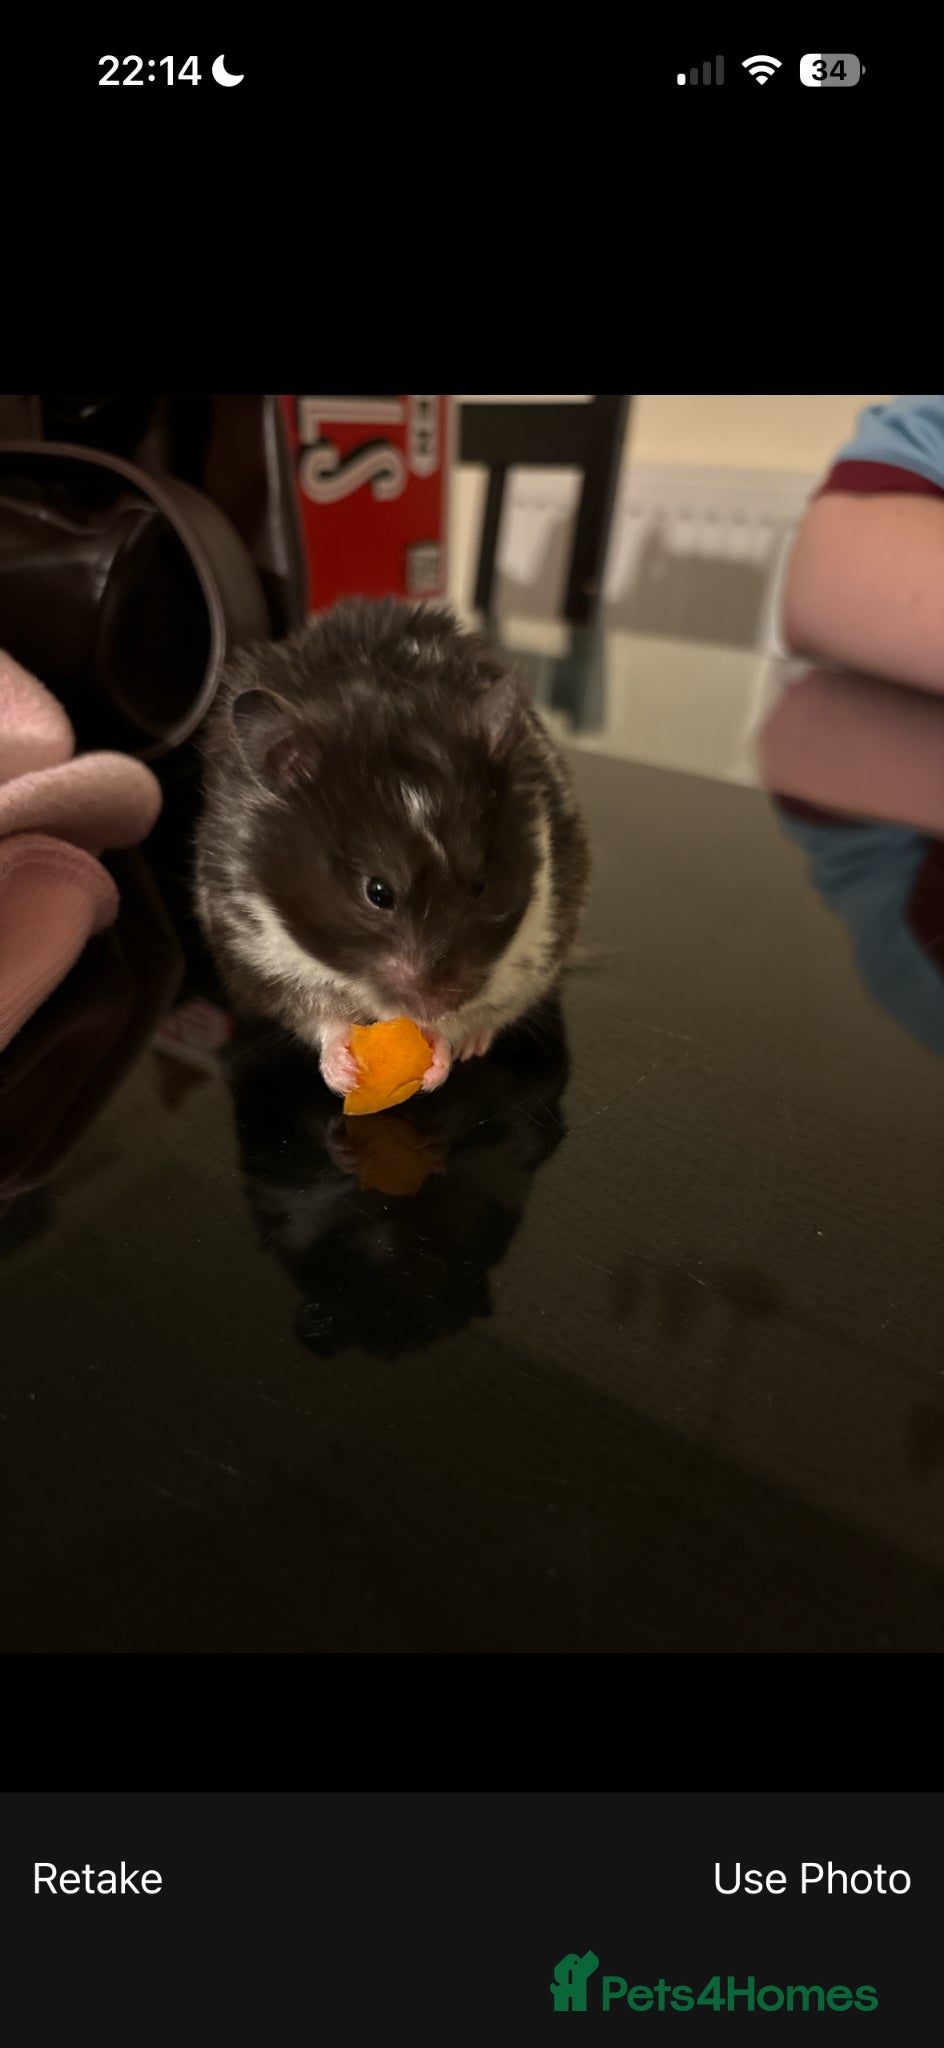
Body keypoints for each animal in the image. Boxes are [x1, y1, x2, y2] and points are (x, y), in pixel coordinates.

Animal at [193, 596, 590, 1097]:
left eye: (480, 885)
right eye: (377, 892)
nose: (435, 1006)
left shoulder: (537, 943)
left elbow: (470, 1018)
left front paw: (440, 1055)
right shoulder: (257, 950)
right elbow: (319, 1016)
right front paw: (344, 1073)